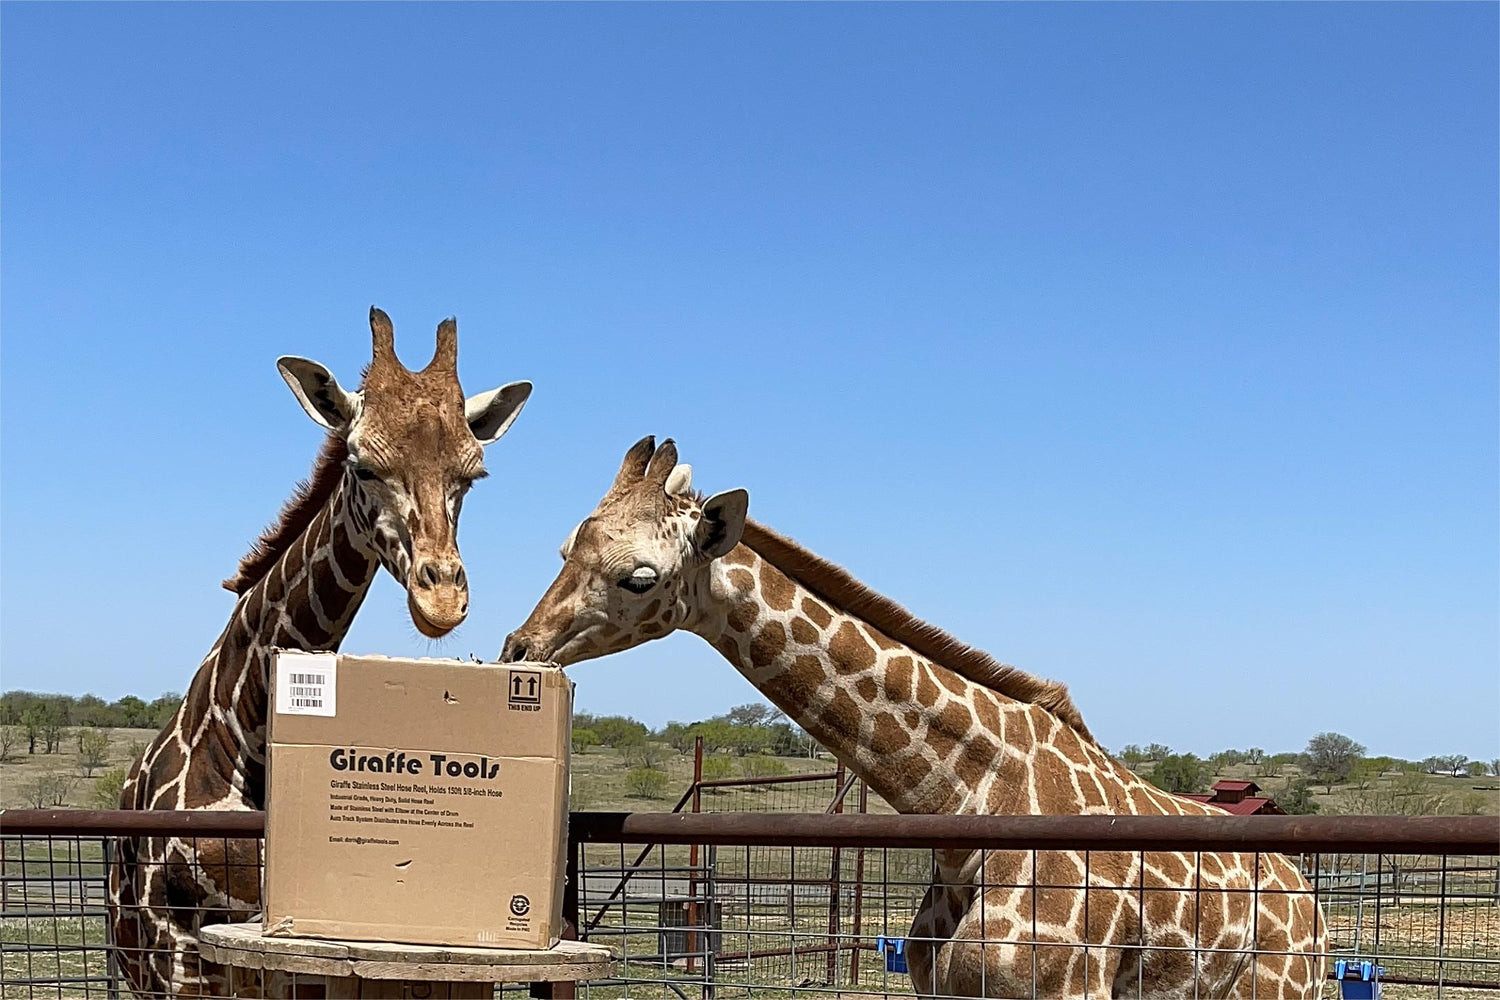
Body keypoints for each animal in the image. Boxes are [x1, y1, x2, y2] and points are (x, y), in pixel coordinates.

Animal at [501, 436, 1328, 999]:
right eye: (565, 546)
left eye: (639, 577)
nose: (519, 647)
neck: (972, 808)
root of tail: (1312, 901)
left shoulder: (1068, 990)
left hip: (1281, 990)